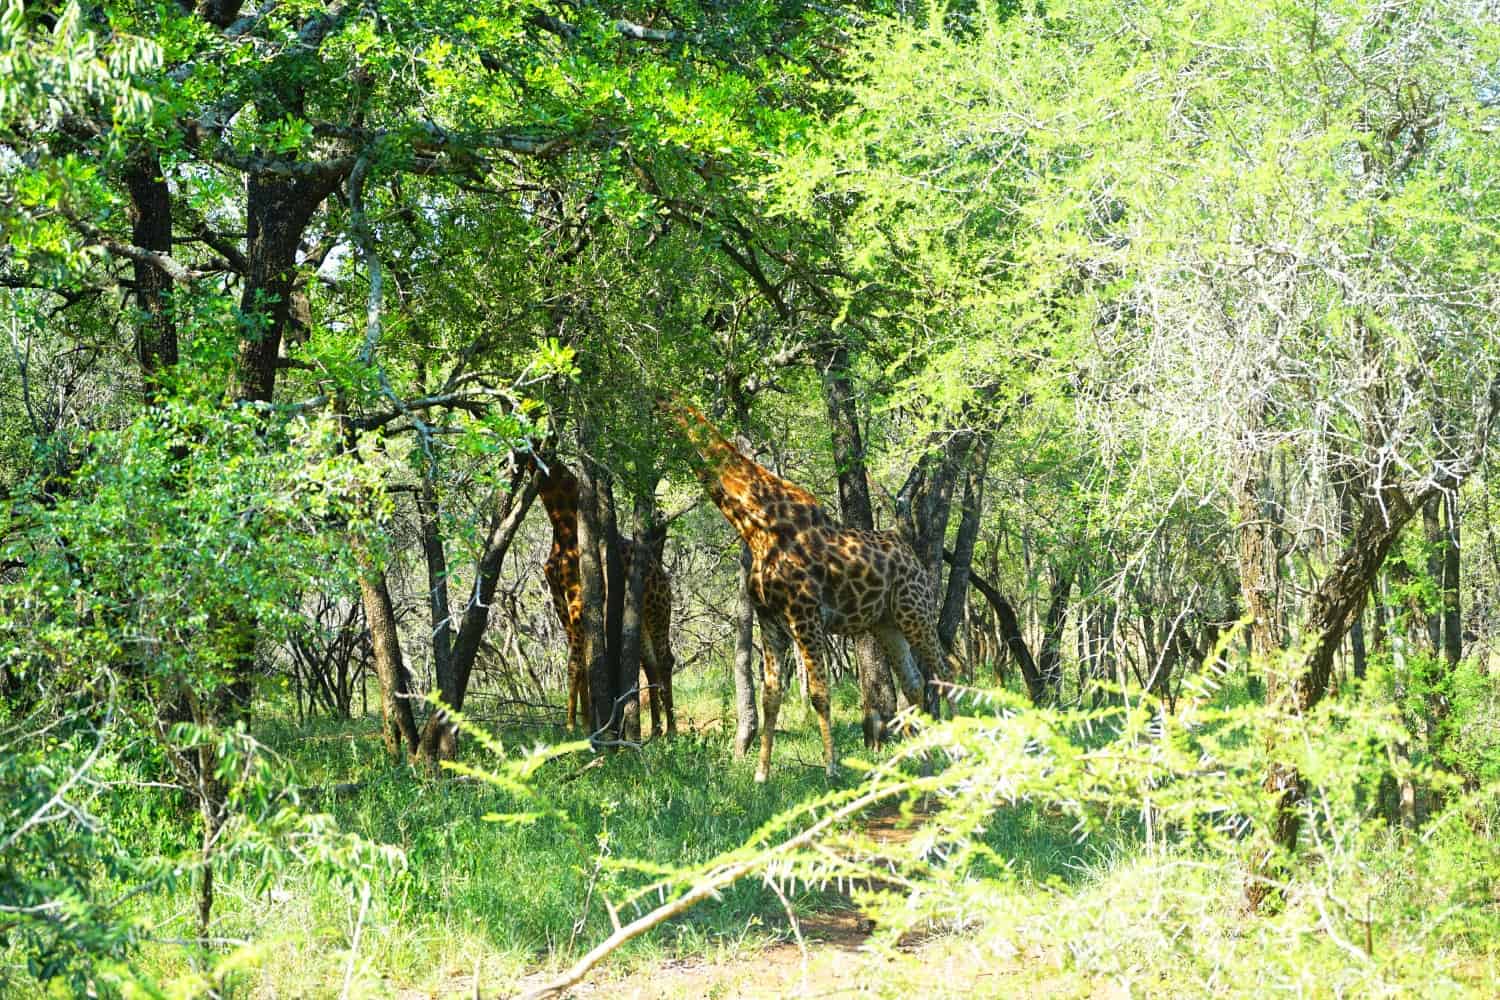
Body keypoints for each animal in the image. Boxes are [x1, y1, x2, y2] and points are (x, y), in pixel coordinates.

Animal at [534, 458, 675, 740]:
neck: (562, 522)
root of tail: (663, 576)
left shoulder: (577, 598)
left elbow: (576, 664)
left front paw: (574, 727)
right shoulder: (560, 603)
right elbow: (583, 664)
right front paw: (586, 724)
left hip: (658, 610)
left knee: (666, 659)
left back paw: (673, 730)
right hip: (640, 618)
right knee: (649, 664)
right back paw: (655, 730)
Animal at [663, 398, 942, 779]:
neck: (755, 523)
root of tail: (911, 553)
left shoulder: (806, 614)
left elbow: (820, 694)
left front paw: (832, 769)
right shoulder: (770, 619)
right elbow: (771, 696)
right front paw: (761, 774)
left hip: (917, 611)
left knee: (946, 670)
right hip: (886, 622)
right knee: (914, 683)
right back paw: (927, 764)